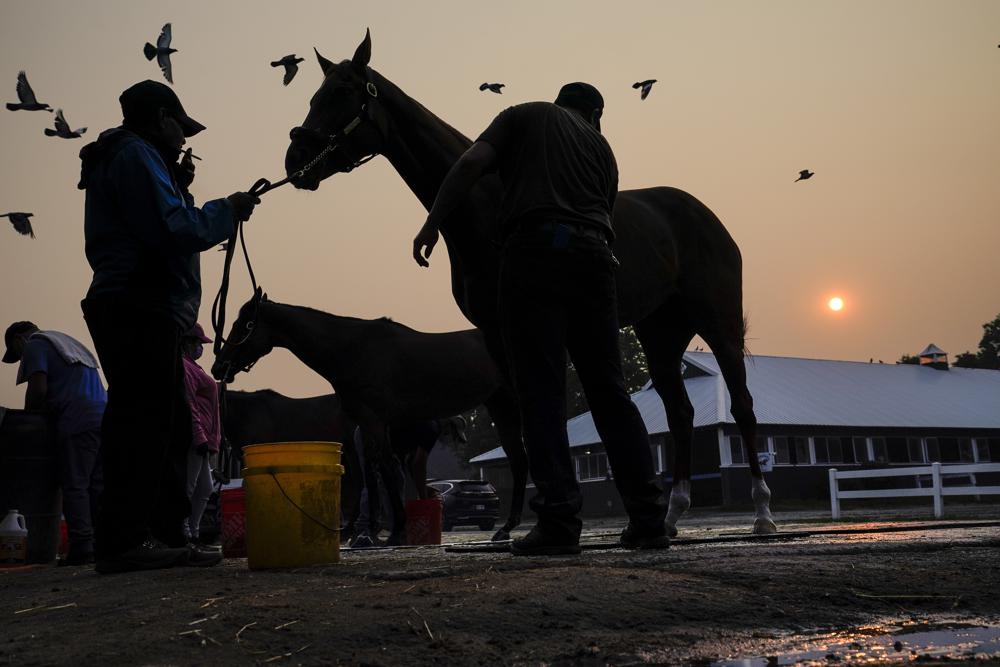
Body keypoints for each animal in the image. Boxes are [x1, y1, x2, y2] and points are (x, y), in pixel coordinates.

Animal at [210, 290, 524, 540]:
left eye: (244, 325)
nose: (218, 367)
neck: (353, 349)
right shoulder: (367, 426)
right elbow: (376, 472)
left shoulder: (374, 420)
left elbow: (385, 469)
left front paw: (396, 530)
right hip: (500, 404)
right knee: (517, 456)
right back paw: (507, 527)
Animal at [282, 30, 780, 536]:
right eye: (314, 94)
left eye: (342, 91)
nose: (295, 159)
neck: (483, 204)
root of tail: (704, 216)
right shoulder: (496, 329)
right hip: (660, 332)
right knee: (680, 413)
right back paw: (673, 513)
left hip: (717, 321)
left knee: (742, 406)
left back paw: (762, 513)